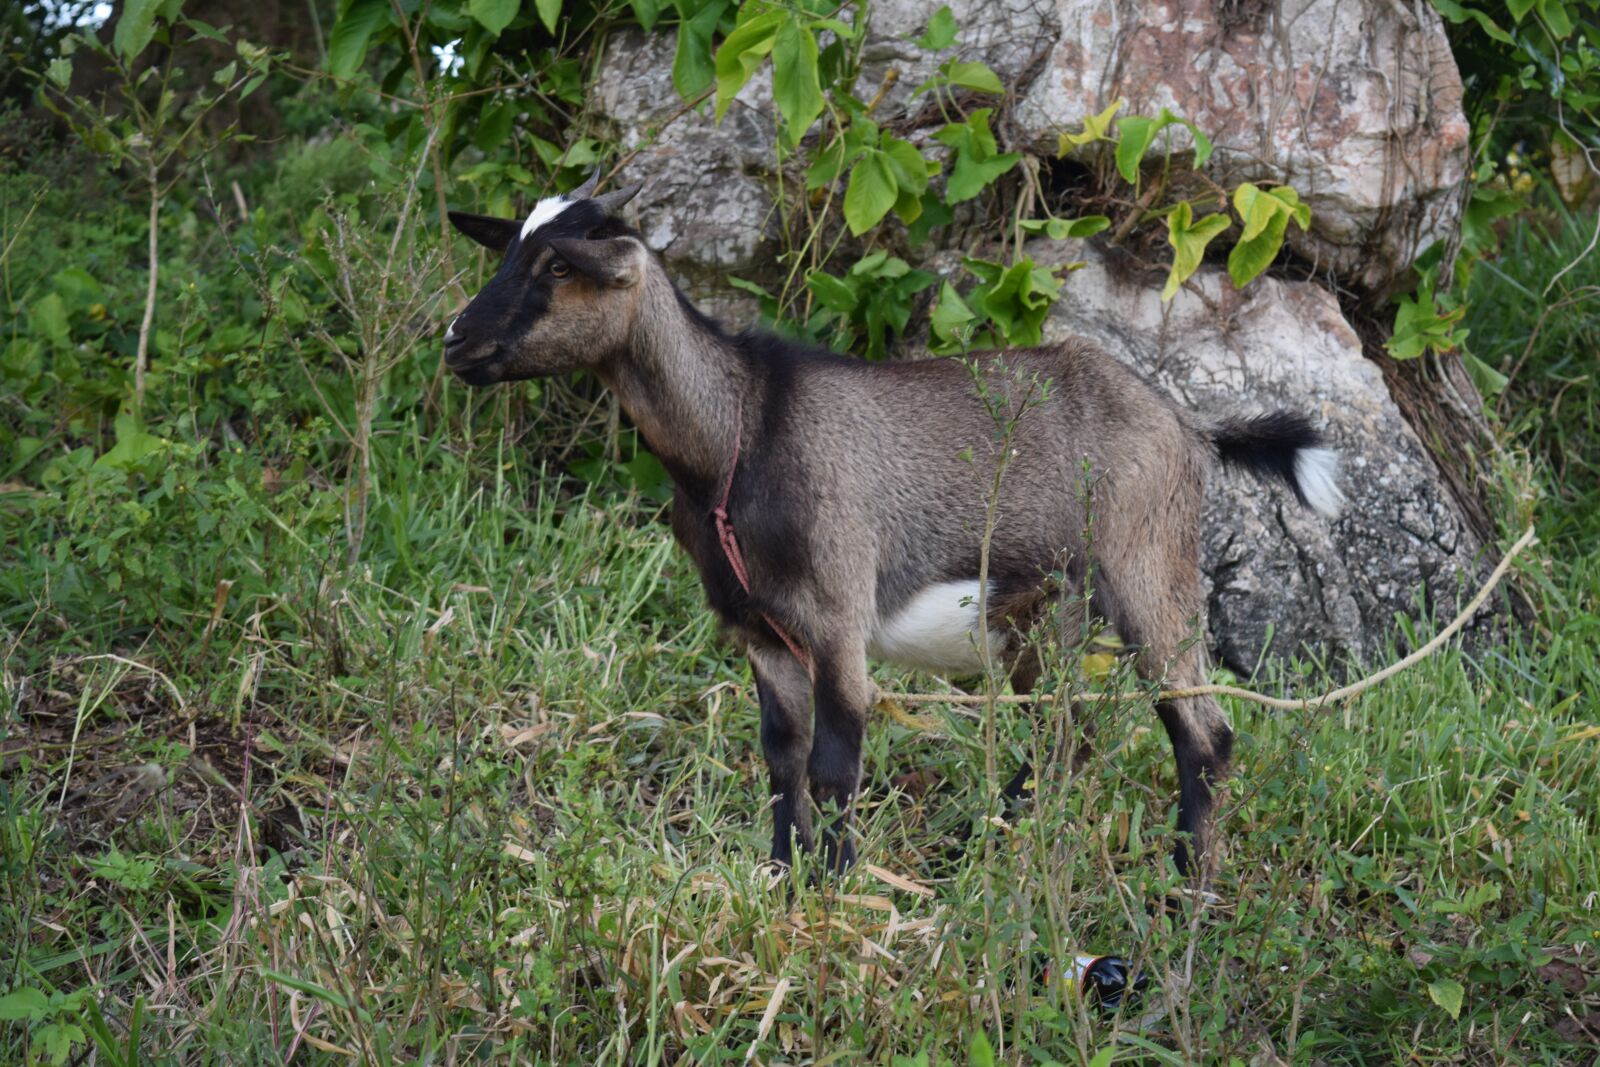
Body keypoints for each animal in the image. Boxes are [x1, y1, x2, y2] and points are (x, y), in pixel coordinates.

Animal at [442, 175, 1343, 880]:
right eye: (509, 250)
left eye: (560, 265)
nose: (456, 341)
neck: (738, 431)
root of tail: (1188, 424)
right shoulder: (761, 630)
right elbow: (782, 756)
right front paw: (785, 875)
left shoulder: (837, 610)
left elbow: (836, 764)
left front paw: (837, 890)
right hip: (1043, 613)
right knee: (1069, 731)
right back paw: (992, 846)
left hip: (1150, 569)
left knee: (1203, 732)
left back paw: (1187, 888)